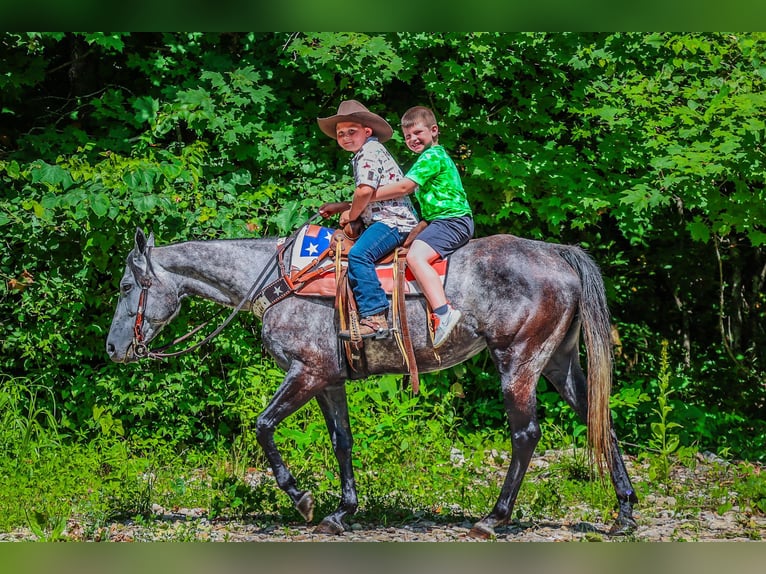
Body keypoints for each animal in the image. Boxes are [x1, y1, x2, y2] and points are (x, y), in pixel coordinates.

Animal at [106, 226, 638, 538]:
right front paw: (342, 512)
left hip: (518, 361)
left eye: (128, 286)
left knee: (525, 434)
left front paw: (302, 500)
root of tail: (558, 254)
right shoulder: (328, 379)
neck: (279, 281)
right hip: (558, 362)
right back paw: (625, 514)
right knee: (600, 421)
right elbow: (342, 441)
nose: (113, 349)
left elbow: (262, 426)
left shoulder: (305, 372)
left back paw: (493, 518)